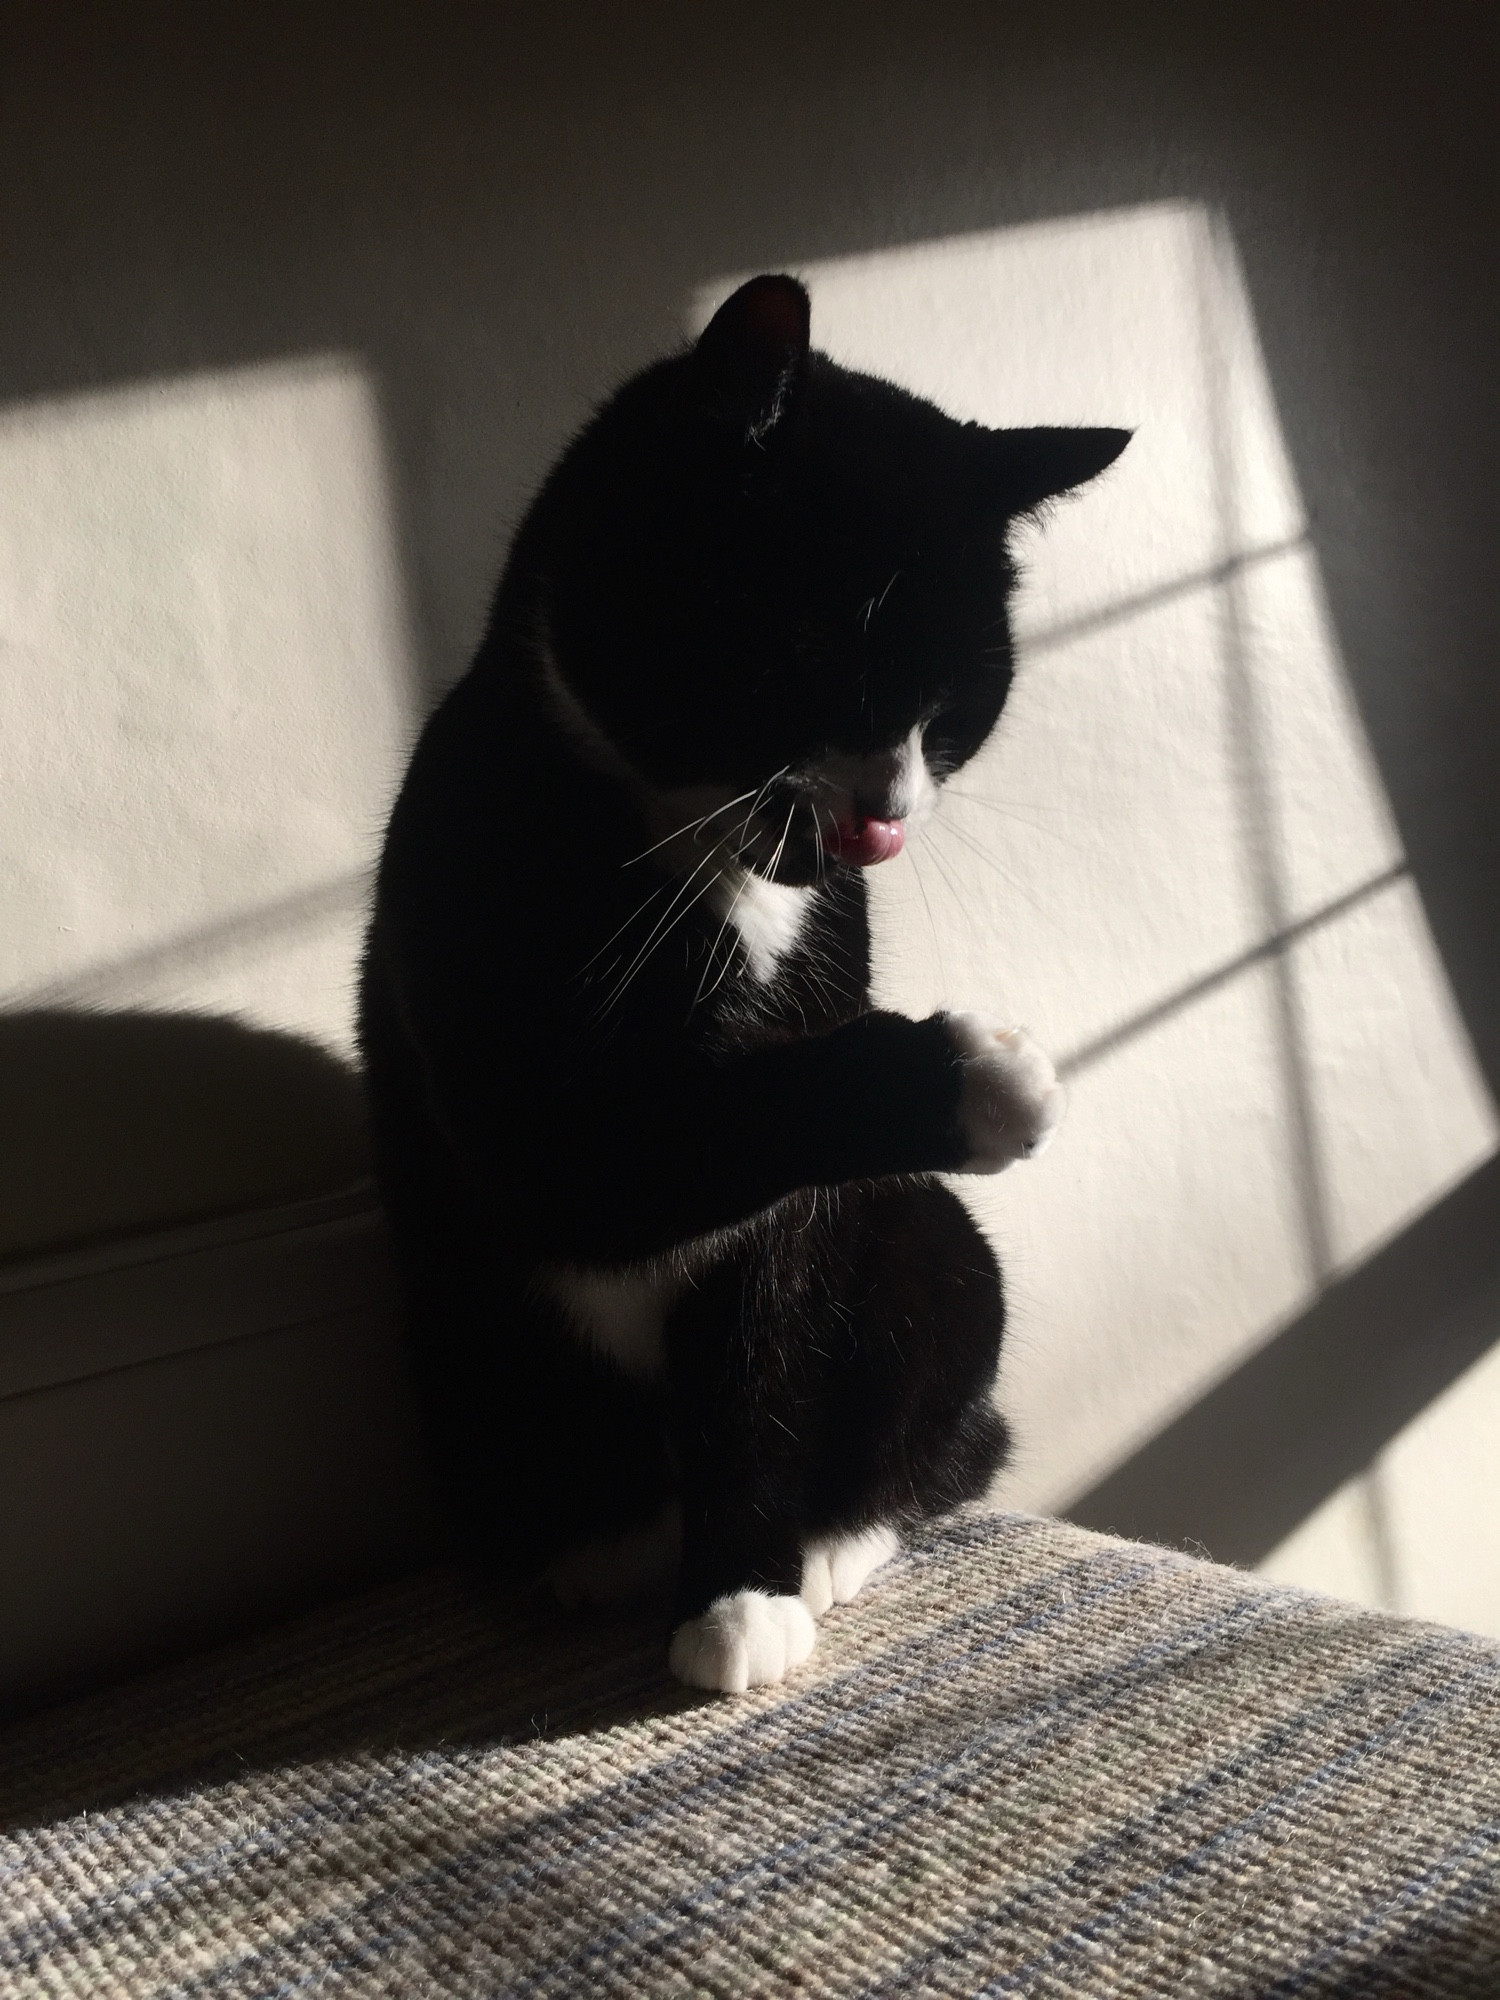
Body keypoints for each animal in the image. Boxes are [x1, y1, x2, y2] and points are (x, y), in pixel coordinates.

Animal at [358, 274, 1120, 1696]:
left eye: (952, 709)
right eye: (817, 655)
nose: (887, 809)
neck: (705, 871)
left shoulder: (797, 1206)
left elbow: (761, 1349)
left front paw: (745, 1588)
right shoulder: (516, 1085)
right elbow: (652, 1139)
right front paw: (984, 1075)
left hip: (929, 1246)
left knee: (956, 1417)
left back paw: (827, 1538)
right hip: (452, 1340)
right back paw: (596, 1548)